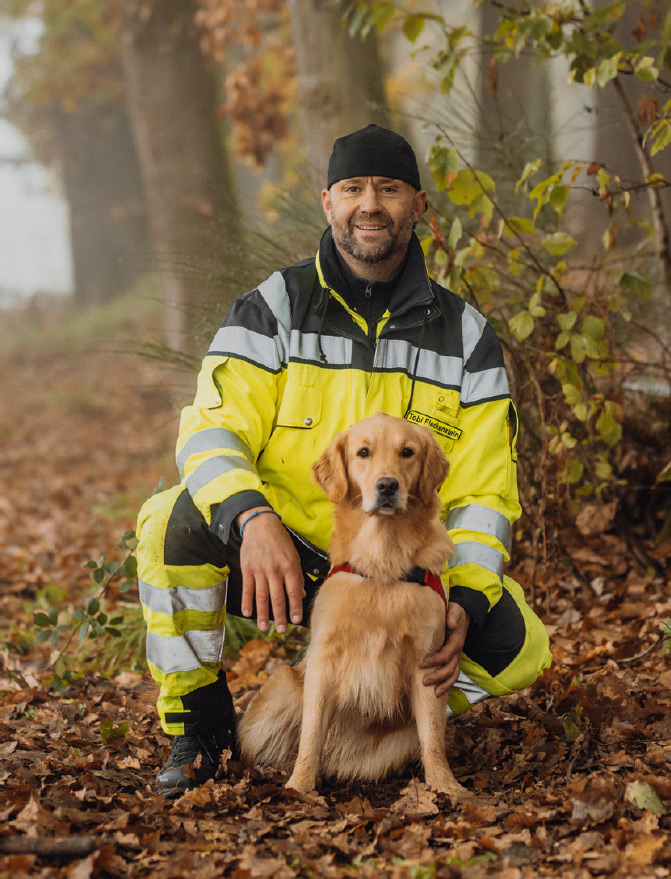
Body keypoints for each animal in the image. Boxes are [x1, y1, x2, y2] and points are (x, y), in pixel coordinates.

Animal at [239, 412, 464, 796]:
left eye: (407, 452)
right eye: (363, 452)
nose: (387, 486)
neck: (382, 564)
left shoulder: (428, 663)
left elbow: (434, 739)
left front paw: (446, 786)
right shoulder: (324, 661)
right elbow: (310, 735)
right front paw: (299, 786)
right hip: (280, 689)